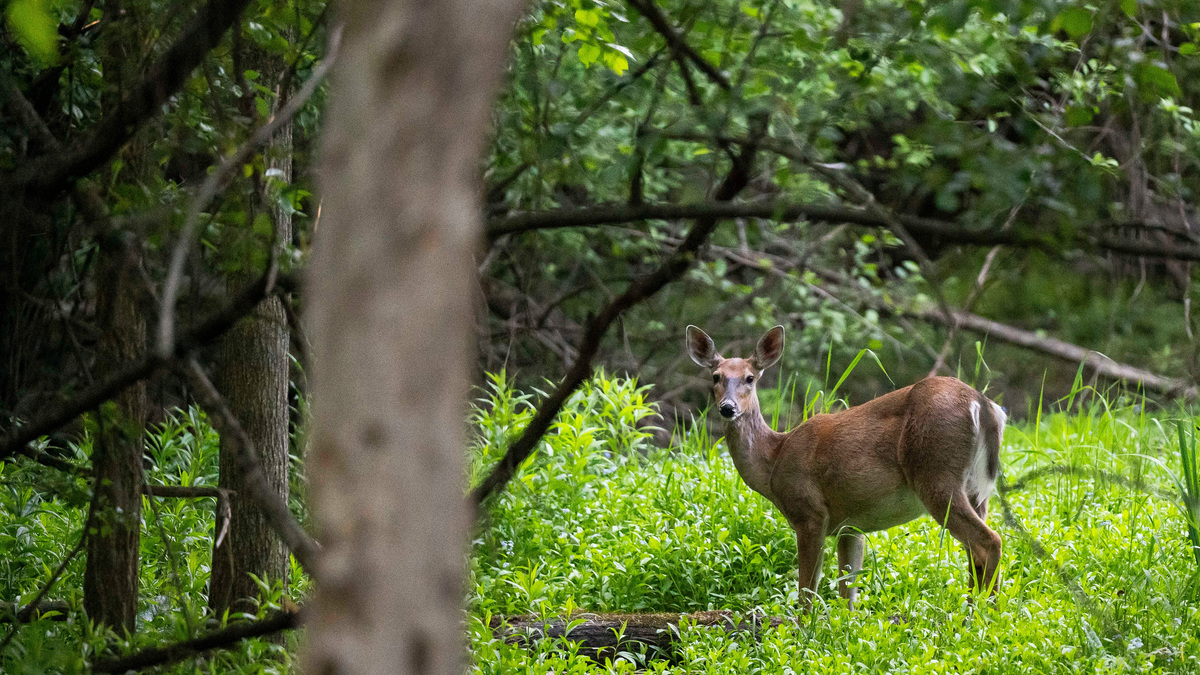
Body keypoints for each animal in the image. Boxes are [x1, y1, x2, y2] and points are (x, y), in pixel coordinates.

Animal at [685, 324, 1006, 610]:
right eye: (716, 376)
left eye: (750, 378)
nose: (727, 407)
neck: (774, 459)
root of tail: (982, 404)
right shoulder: (850, 526)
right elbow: (847, 594)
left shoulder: (810, 512)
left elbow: (807, 592)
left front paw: (804, 631)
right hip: (976, 490)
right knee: (975, 550)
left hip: (935, 474)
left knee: (989, 541)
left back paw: (981, 617)